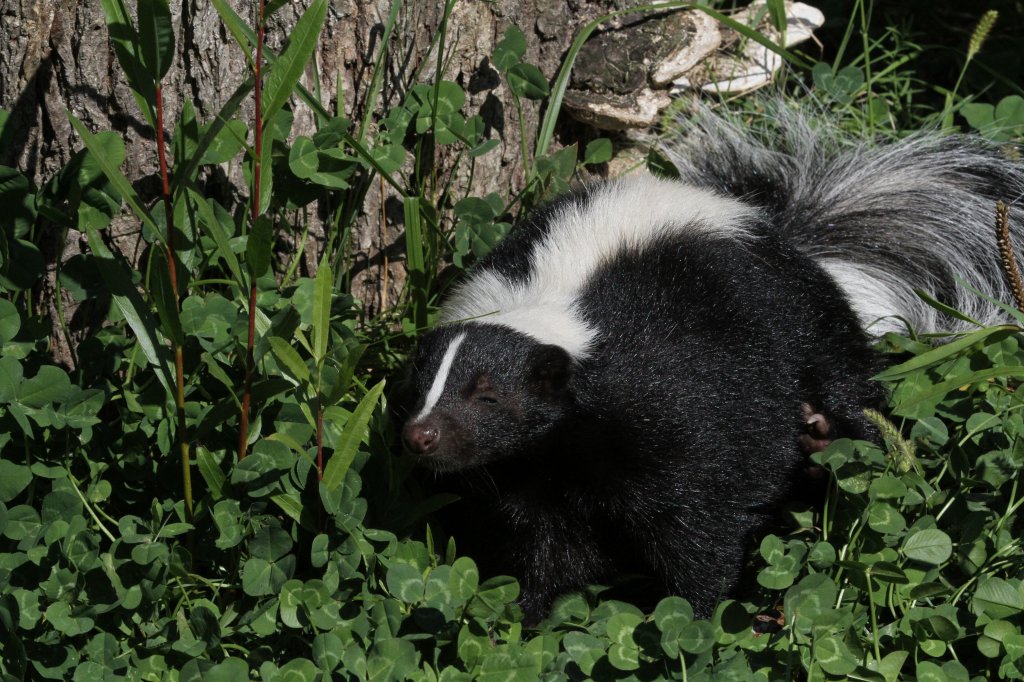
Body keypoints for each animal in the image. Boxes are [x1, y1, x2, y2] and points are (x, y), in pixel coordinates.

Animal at [397, 107, 1024, 622]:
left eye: (487, 396)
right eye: (419, 389)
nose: (420, 436)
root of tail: (789, 236)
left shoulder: (676, 402)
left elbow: (700, 521)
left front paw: (691, 615)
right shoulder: (534, 469)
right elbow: (547, 542)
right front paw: (526, 616)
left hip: (804, 324)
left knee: (850, 396)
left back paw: (828, 439)